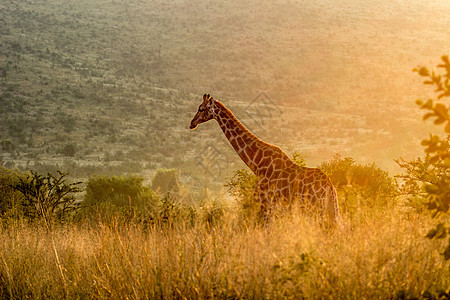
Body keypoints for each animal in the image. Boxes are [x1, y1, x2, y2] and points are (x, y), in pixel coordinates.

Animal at [190, 94, 342, 225]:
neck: (256, 163)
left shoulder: (265, 204)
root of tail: (330, 188)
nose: (192, 123)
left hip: (315, 209)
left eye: (201, 108)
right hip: (329, 209)